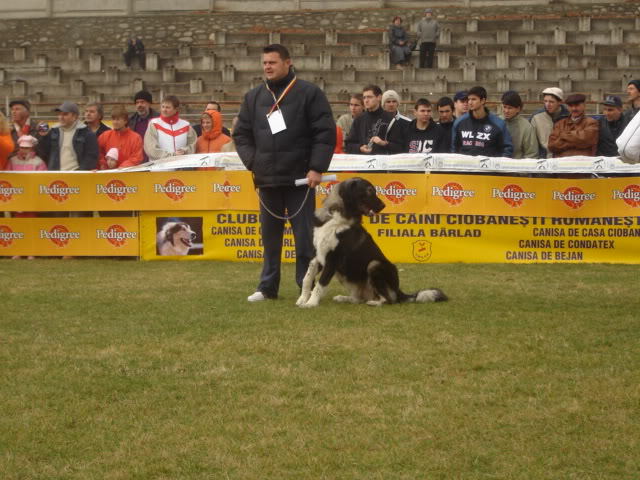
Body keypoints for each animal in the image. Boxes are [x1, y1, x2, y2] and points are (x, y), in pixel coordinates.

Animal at [296, 176, 444, 308]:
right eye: (369, 191)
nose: (383, 206)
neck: (338, 214)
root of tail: (398, 291)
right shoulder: (318, 256)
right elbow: (307, 279)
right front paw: (302, 299)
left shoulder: (333, 259)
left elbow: (320, 284)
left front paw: (311, 303)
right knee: (358, 299)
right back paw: (345, 298)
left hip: (374, 265)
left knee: (389, 299)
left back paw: (375, 303)